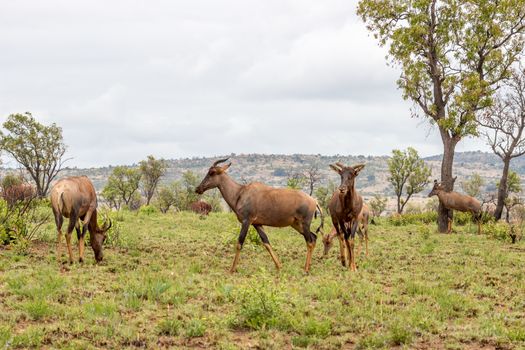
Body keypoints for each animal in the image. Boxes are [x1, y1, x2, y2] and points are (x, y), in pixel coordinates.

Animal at [194, 158, 322, 274]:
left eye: (212, 172)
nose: (198, 189)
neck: (240, 192)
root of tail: (314, 201)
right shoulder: (257, 224)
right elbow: (266, 242)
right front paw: (279, 266)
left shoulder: (246, 221)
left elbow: (239, 243)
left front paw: (232, 270)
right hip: (296, 224)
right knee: (314, 237)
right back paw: (308, 267)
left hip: (304, 223)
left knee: (310, 241)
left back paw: (306, 270)